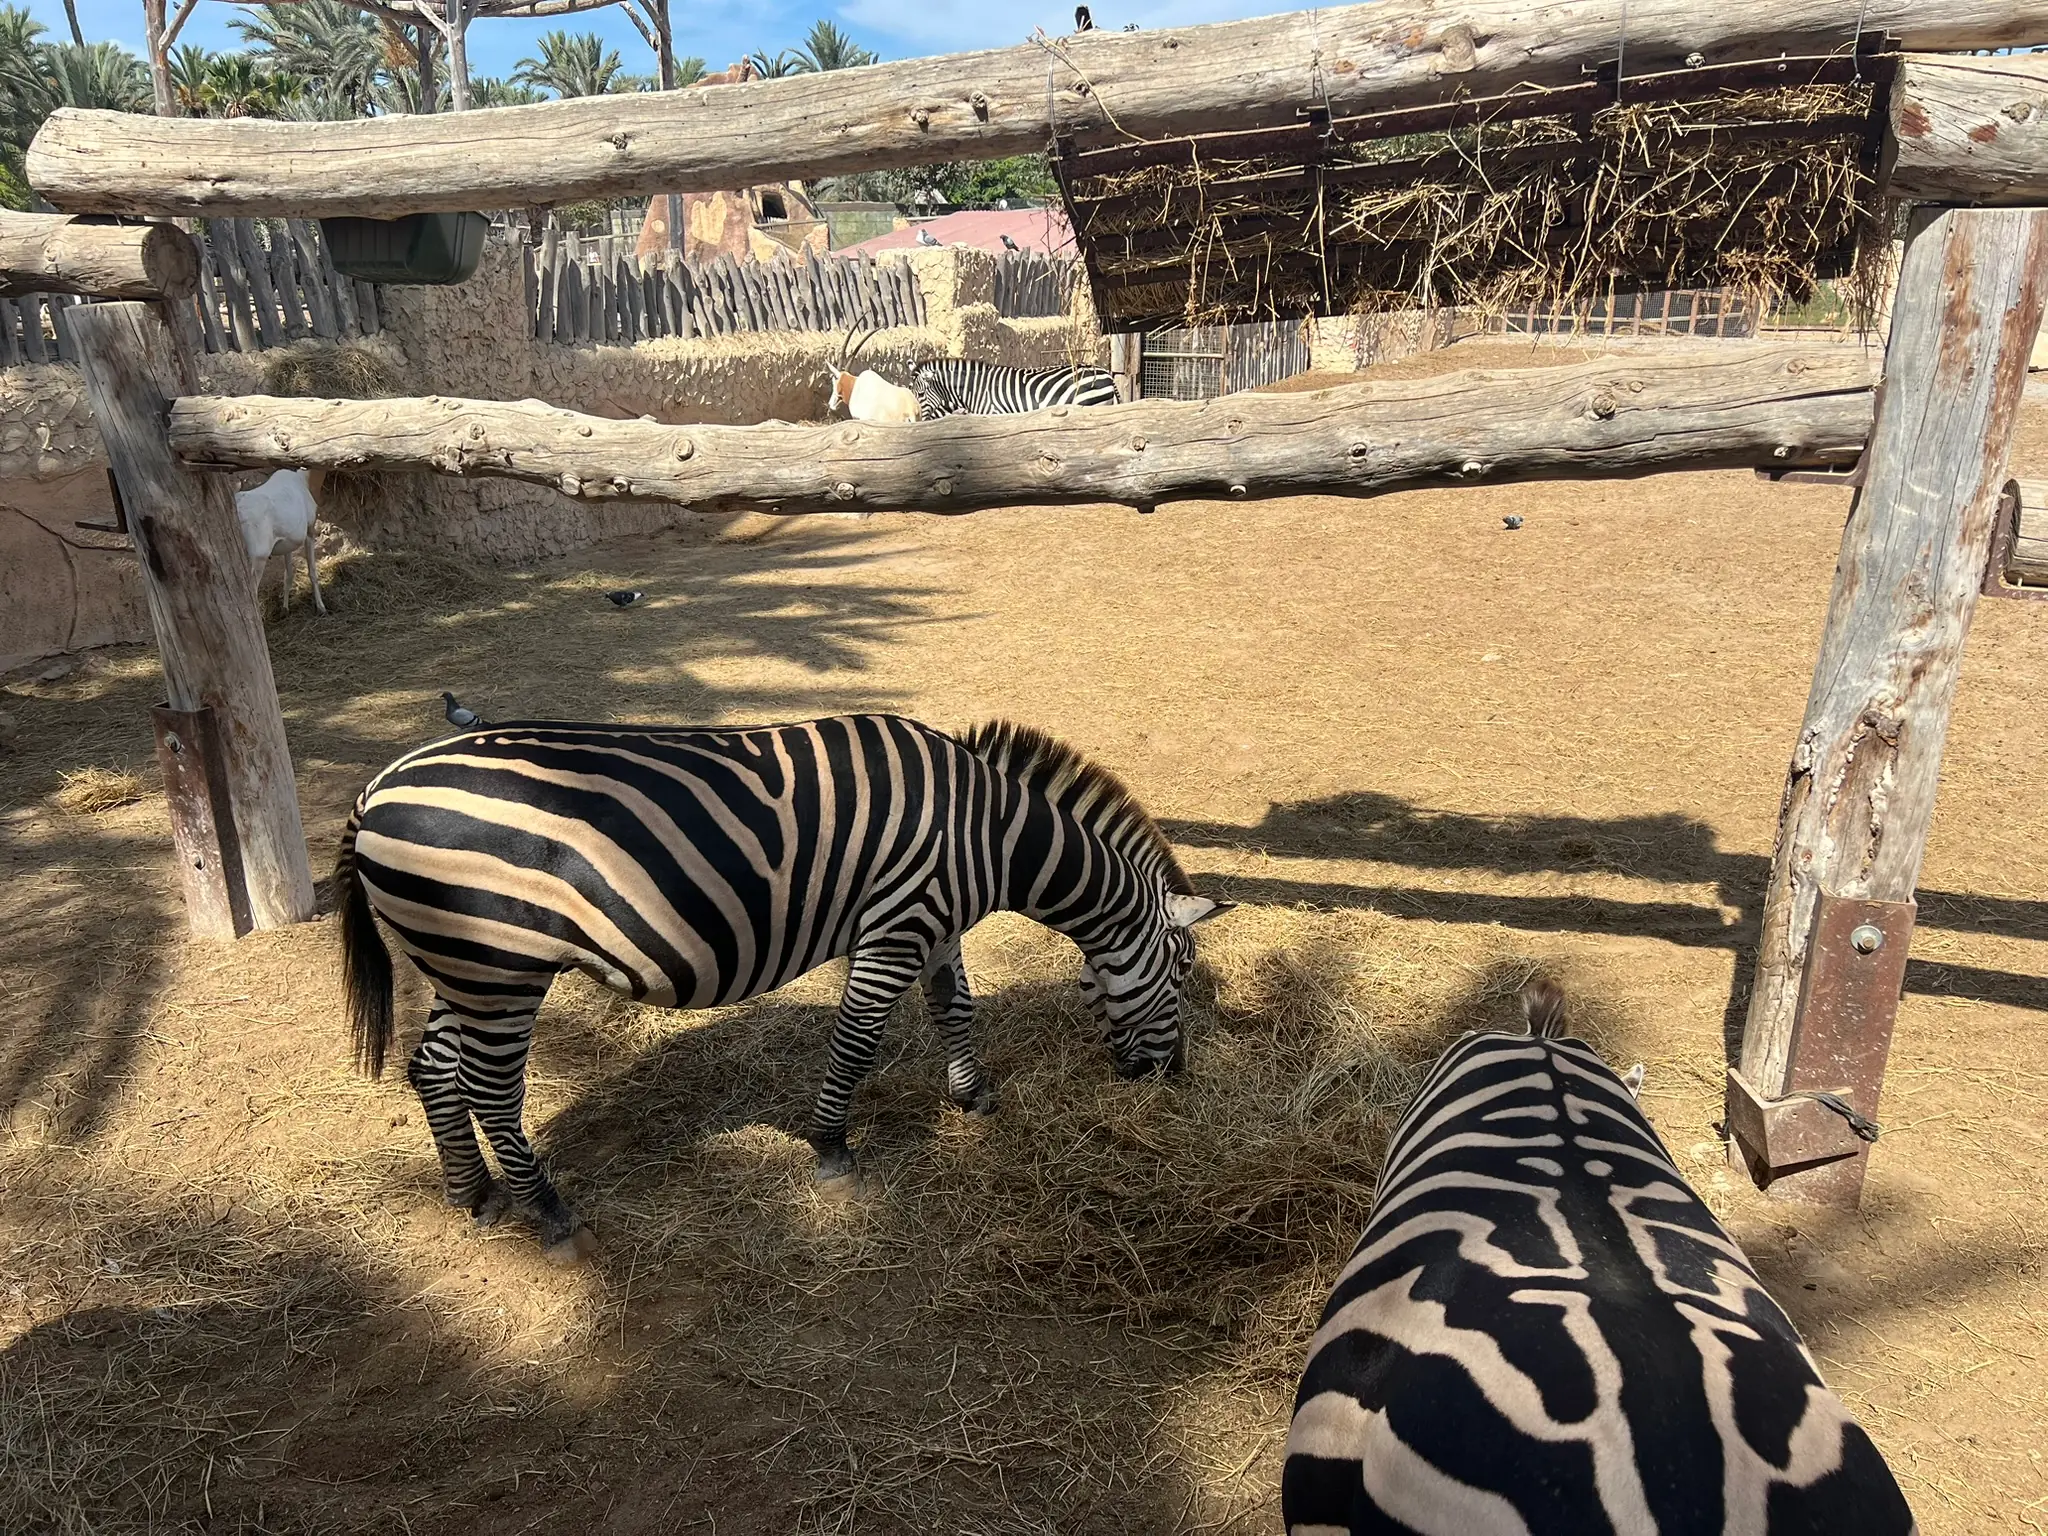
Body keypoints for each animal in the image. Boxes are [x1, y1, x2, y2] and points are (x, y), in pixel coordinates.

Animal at [336, 713, 1228, 1260]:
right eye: (1182, 975)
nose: (1171, 1080)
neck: (992, 834)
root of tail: (376, 787)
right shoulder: (900, 921)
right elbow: (859, 1036)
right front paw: (832, 1147)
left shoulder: (936, 923)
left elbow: (956, 1009)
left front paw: (973, 1099)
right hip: (501, 965)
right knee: (488, 1087)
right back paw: (553, 1218)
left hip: (464, 966)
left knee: (432, 1066)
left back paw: (474, 1195)